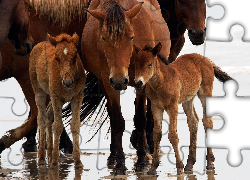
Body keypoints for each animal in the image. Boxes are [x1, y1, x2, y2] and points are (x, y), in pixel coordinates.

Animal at [28, 33, 86, 168]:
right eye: (57, 58)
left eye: (75, 56)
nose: (67, 82)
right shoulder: (56, 97)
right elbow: (58, 125)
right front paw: (55, 162)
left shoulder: (77, 96)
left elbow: (75, 125)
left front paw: (78, 161)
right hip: (39, 91)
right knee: (41, 118)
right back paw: (42, 159)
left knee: (48, 116)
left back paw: (49, 155)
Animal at [81, 0, 171, 174]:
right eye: (103, 38)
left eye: (131, 37)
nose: (119, 80)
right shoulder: (108, 82)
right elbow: (117, 121)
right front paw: (120, 163)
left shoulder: (142, 83)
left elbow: (140, 118)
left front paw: (142, 160)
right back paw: (112, 156)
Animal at [134, 42, 233, 174]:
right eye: (135, 64)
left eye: (149, 64)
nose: (138, 83)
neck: (160, 82)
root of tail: (205, 58)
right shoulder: (156, 107)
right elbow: (157, 134)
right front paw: (153, 168)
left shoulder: (172, 106)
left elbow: (172, 135)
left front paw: (179, 167)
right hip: (188, 99)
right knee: (193, 121)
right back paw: (190, 164)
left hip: (205, 92)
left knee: (207, 122)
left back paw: (210, 163)